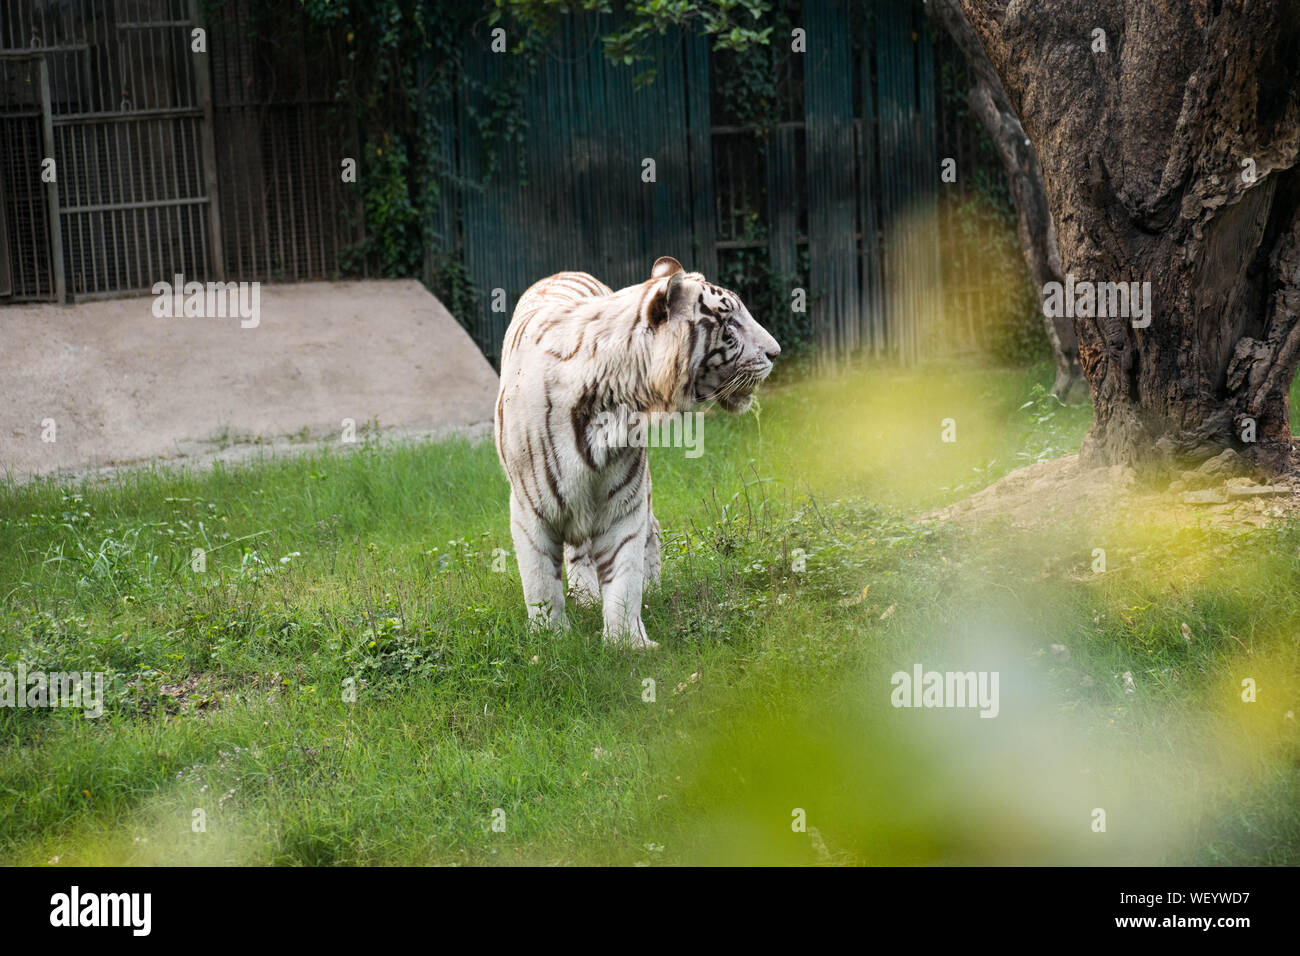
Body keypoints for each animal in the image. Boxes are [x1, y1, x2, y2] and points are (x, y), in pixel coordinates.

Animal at [494, 255, 781, 649]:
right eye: (729, 322)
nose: (776, 353)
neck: (614, 398)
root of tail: (563, 272)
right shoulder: (531, 507)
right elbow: (541, 583)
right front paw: (551, 640)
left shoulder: (623, 499)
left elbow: (624, 576)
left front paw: (628, 644)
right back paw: (584, 597)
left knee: (648, 531)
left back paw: (649, 588)